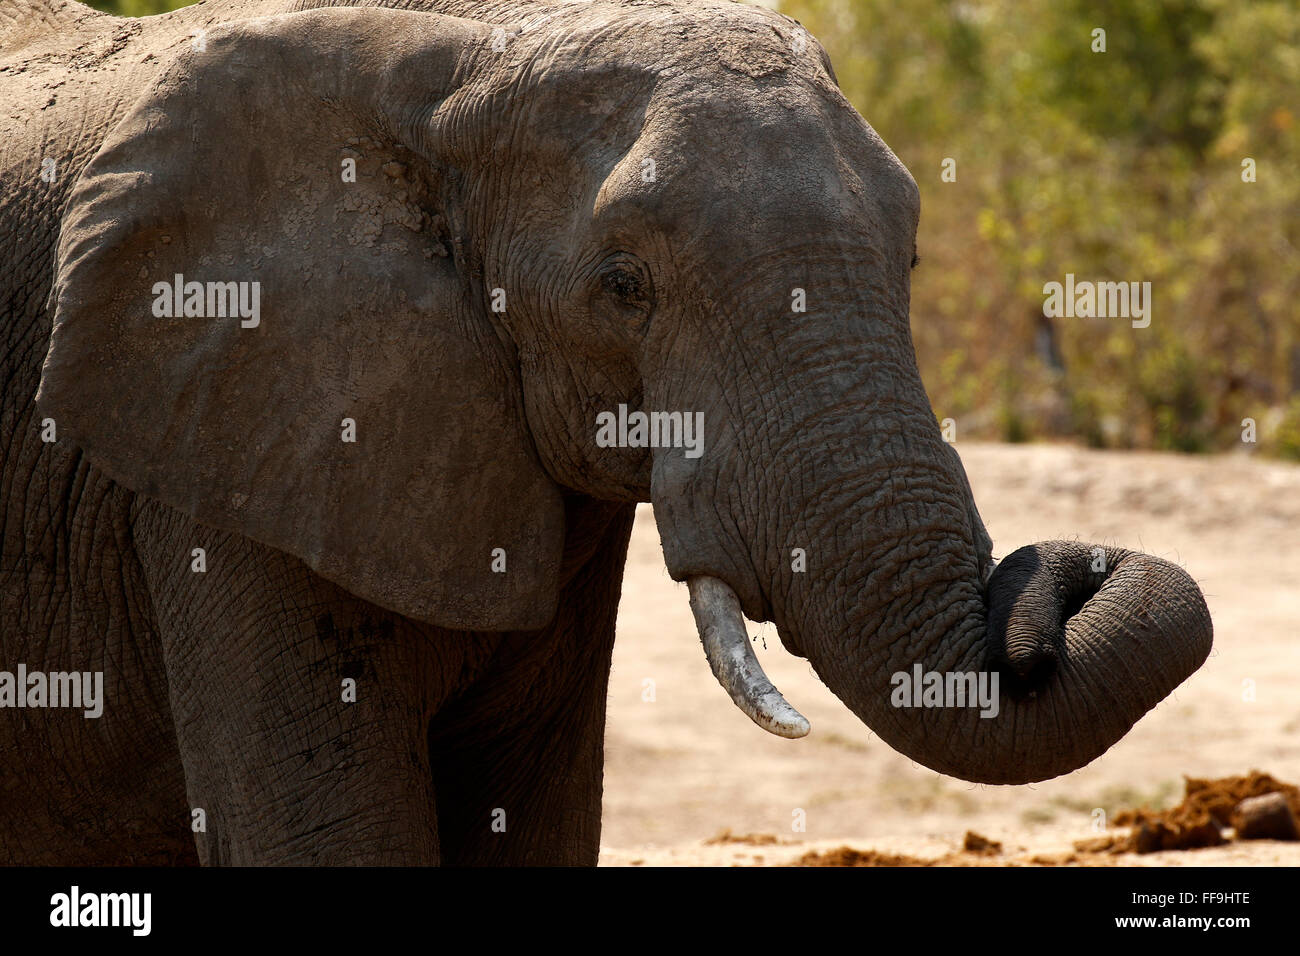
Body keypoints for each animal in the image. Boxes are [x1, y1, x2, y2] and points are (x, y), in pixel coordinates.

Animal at [0, 0, 1212, 865]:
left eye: (909, 255)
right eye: (623, 287)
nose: (1062, 578)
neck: (468, 53)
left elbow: (532, 825)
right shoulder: (226, 454)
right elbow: (328, 838)